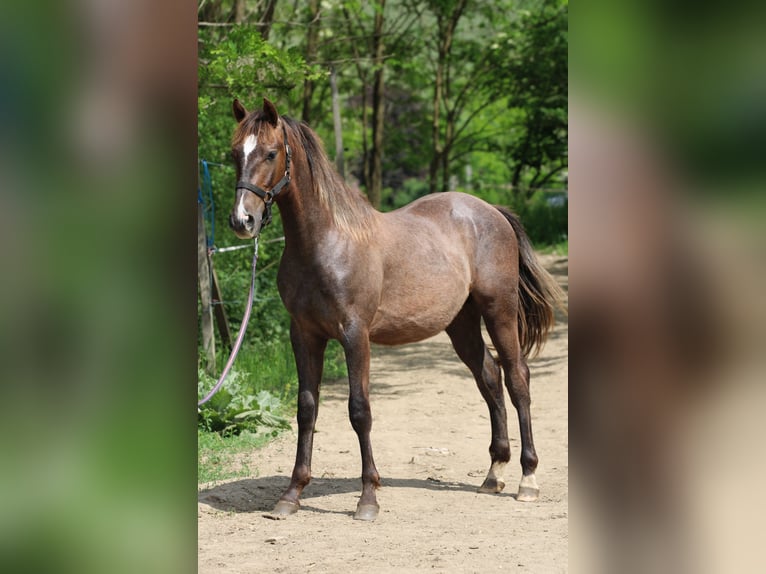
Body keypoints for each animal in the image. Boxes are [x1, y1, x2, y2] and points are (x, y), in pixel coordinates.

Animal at [228, 98, 564, 520]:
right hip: (461, 323)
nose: (242, 220)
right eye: (234, 153)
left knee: (518, 378)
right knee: (489, 375)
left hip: (499, 310)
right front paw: (291, 494)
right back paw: (493, 474)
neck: (326, 242)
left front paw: (368, 498)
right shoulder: (304, 334)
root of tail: (492, 211)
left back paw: (527, 479)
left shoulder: (355, 335)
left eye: (271, 153)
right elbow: (306, 409)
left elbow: (359, 410)